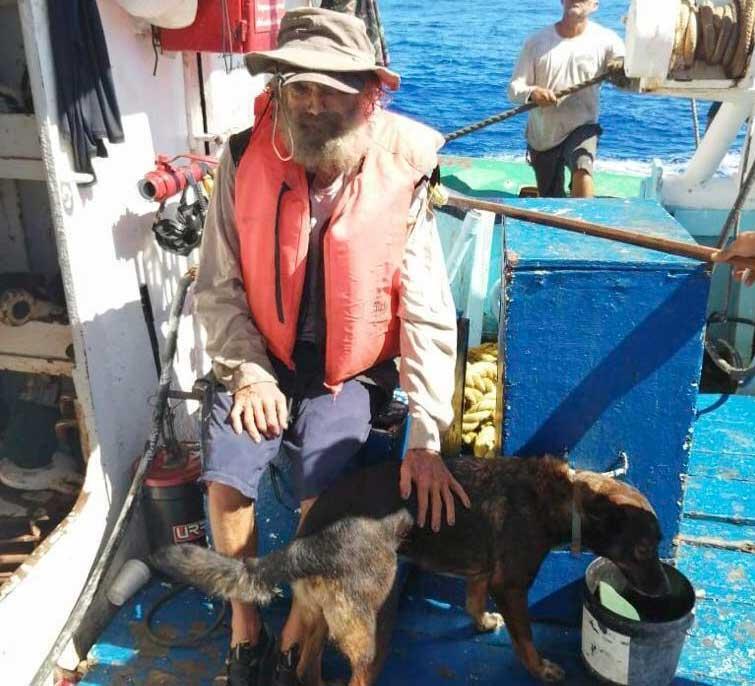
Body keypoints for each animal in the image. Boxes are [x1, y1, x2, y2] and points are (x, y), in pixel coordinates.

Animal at [154, 456, 668, 686]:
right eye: (644, 548)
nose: (662, 593)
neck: (565, 498)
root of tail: (308, 540)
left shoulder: (482, 572)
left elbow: (473, 598)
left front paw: (481, 622)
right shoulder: (511, 584)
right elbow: (524, 638)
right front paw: (540, 668)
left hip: (318, 615)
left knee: (305, 666)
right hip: (370, 628)